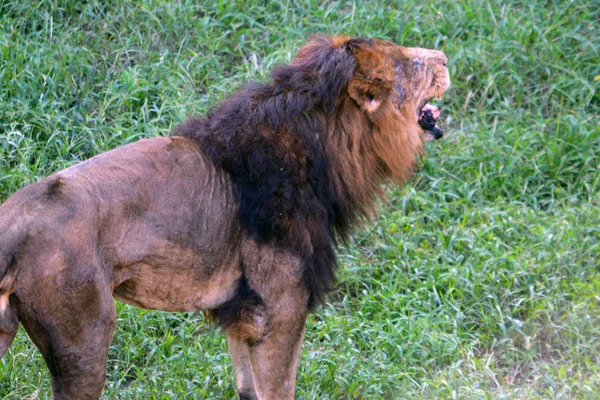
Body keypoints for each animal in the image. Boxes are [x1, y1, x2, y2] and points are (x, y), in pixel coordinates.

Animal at [0, 36, 450, 398]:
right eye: (411, 63)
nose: (445, 58)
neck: (330, 148)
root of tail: (13, 223)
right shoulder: (280, 308)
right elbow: (279, 389)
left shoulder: (242, 313)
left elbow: (248, 388)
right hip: (84, 341)